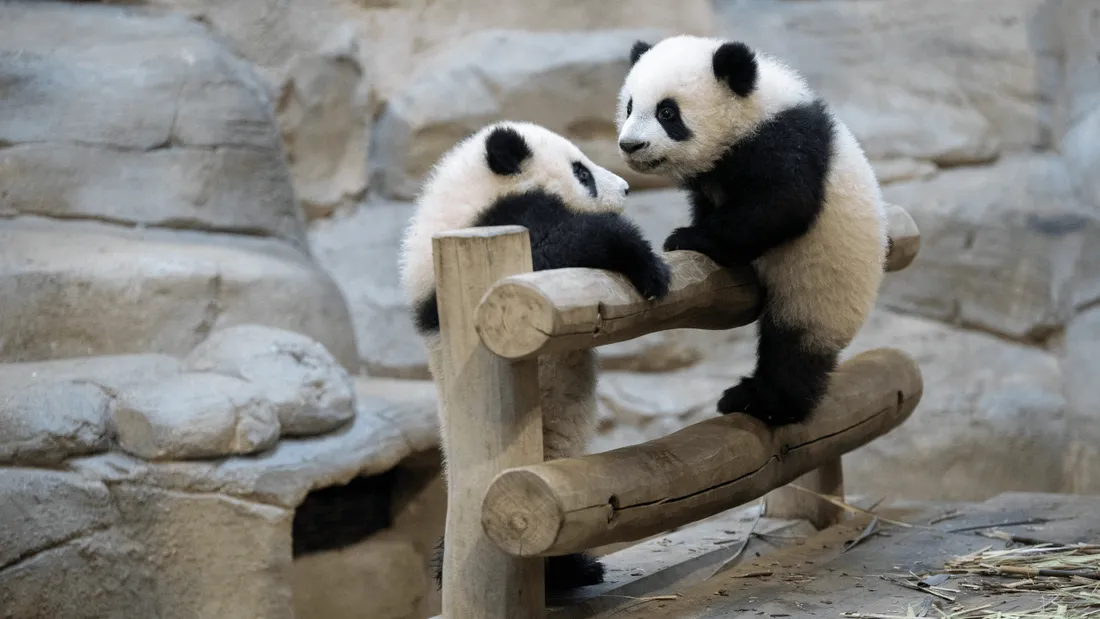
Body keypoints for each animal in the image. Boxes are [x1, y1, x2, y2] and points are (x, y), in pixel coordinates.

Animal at [398, 120, 672, 593]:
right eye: (581, 172)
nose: (624, 189)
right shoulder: (495, 226)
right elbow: (547, 255)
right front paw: (643, 259)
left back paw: (573, 571)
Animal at [614, 35, 889, 429]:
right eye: (630, 107)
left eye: (667, 113)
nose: (631, 145)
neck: (750, 113)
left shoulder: (782, 141)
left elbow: (783, 204)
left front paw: (689, 238)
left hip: (821, 284)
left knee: (793, 349)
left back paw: (759, 401)